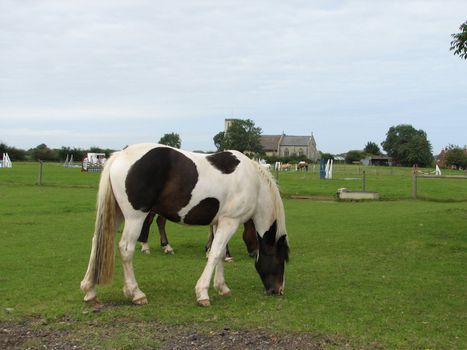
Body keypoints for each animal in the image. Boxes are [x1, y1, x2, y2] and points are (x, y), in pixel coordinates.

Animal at [82, 144, 290, 304]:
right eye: (281, 259)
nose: (278, 290)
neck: (253, 182)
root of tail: (119, 155)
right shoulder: (230, 222)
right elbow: (214, 254)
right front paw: (203, 293)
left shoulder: (219, 222)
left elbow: (221, 254)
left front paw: (222, 287)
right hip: (135, 217)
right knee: (126, 249)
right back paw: (136, 293)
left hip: (117, 215)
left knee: (96, 241)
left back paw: (90, 290)